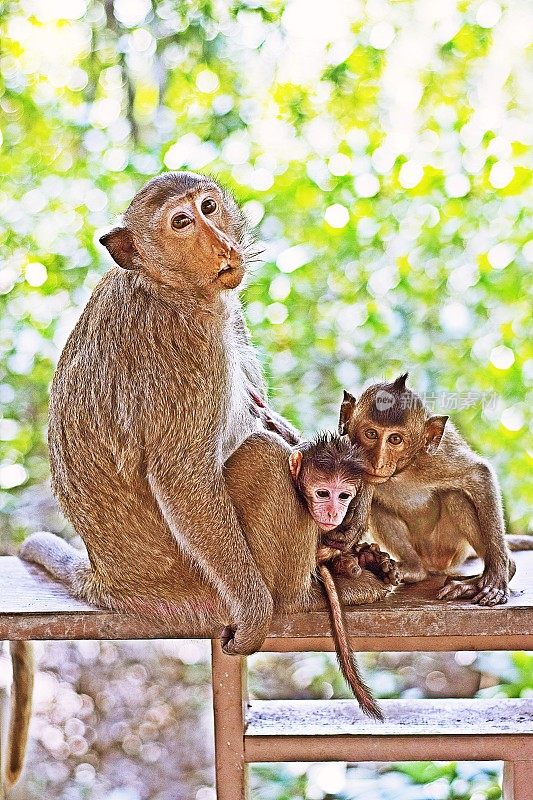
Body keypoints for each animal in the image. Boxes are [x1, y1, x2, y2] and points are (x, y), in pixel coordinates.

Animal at [21, 172, 382, 660]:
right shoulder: (183, 350)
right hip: (197, 583)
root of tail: (105, 579)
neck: (171, 288)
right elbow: (184, 475)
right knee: (265, 459)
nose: (221, 246)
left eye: (208, 207)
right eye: (181, 222)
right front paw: (257, 611)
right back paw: (298, 595)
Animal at [338, 376, 528, 608]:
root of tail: (433, 564)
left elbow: (480, 474)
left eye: (395, 439)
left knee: (455, 497)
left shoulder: (436, 459)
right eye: (371, 434)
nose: (378, 462)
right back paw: (411, 569)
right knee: (377, 507)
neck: (402, 470)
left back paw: (485, 578)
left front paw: (498, 577)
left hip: (450, 550)